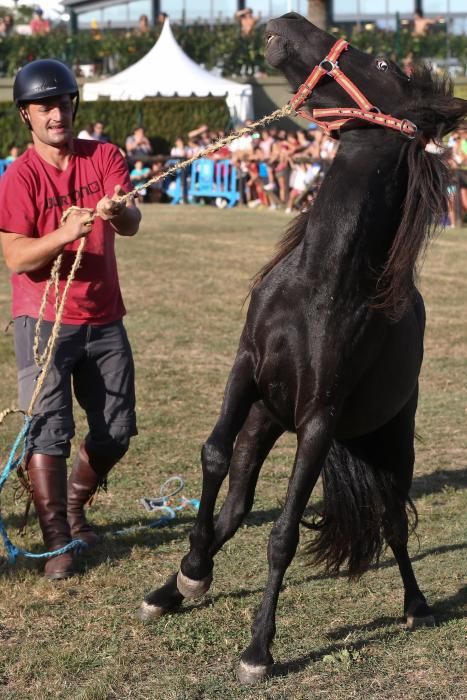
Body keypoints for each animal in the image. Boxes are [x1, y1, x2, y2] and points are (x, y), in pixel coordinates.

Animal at [140, 13, 467, 688]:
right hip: (268, 419)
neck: (320, 280)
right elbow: (214, 458)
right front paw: (190, 572)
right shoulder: (245, 369)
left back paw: (417, 605)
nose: (288, 21)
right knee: (237, 507)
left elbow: (285, 534)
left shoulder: (318, 421)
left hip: (390, 436)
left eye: (385, 67)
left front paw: (258, 650)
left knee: (394, 522)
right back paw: (176, 586)